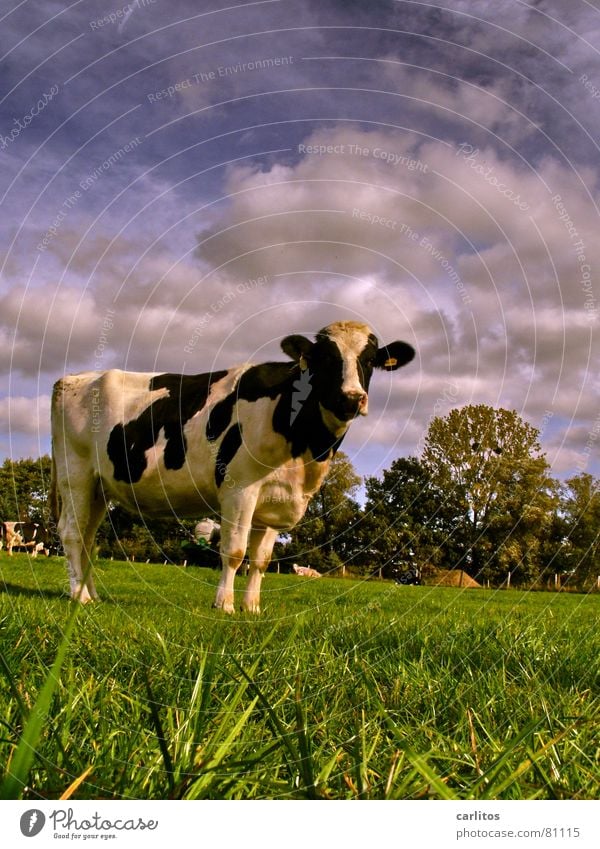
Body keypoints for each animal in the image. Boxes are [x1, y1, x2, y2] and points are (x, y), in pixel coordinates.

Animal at [50, 322, 412, 612]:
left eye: (370, 360)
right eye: (324, 358)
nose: (350, 398)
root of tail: (73, 379)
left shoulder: (274, 501)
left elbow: (261, 561)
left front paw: (252, 608)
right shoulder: (239, 488)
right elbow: (235, 552)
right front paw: (224, 605)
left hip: (100, 487)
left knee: (87, 537)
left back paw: (90, 595)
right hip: (75, 475)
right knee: (70, 532)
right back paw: (79, 595)